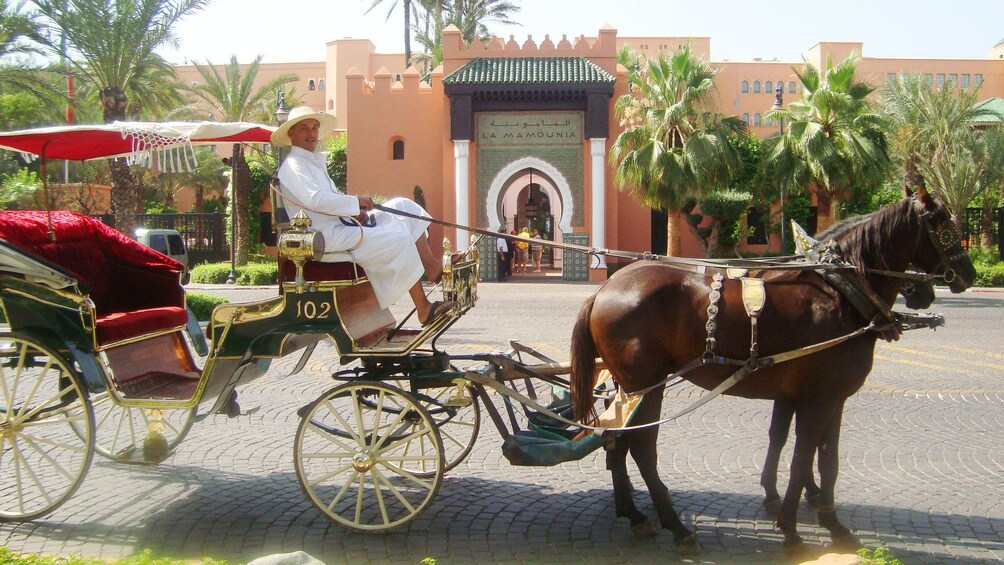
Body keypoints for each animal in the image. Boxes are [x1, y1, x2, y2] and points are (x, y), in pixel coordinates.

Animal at [574, 186, 971, 557]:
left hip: (630, 388)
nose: (969, 272)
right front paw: (795, 530)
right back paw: (677, 526)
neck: (840, 292)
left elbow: (821, 457)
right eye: (943, 223)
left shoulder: (822, 397)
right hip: (647, 384)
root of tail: (604, 289)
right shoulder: (819, 398)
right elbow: (803, 457)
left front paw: (826, 520)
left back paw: (636, 514)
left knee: (617, 439)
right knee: (641, 446)